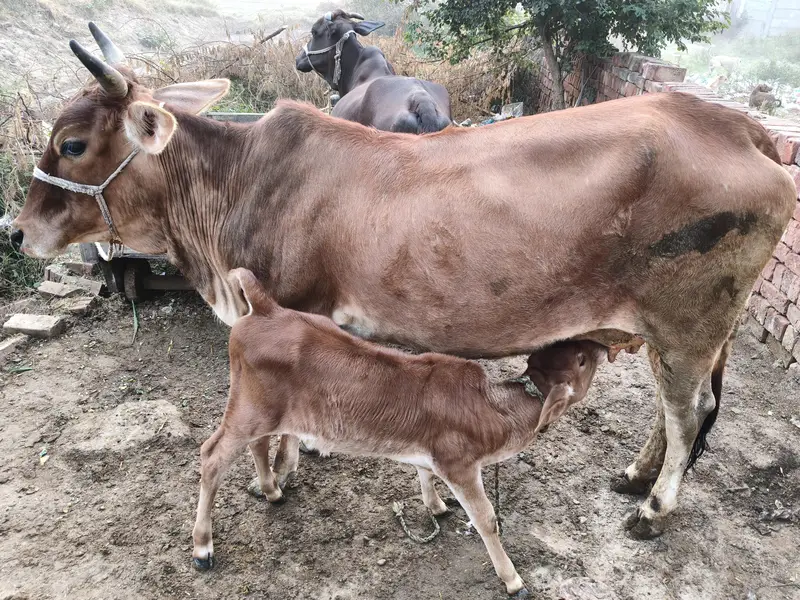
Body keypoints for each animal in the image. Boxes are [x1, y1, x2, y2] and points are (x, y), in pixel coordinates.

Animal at [11, 24, 797, 540]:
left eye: (73, 144)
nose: (18, 233)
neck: (238, 181)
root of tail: (735, 125)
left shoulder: (293, 307)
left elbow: (276, 428)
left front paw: (276, 478)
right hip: (681, 334)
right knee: (675, 413)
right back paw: (634, 476)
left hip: (688, 324)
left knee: (687, 412)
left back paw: (652, 510)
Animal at [192, 268, 606, 597]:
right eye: (581, 359)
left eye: (572, 348)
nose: (598, 343)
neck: (495, 409)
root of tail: (268, 308)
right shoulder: (460, 463)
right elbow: (487, 519)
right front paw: (513, 580)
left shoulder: (431, 449)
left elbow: (424, 473)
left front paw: (436, 506)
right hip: (249, 409)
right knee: (212, 456)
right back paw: (202, 548)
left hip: (265, 412)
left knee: (258, 445)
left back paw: (271, 490)